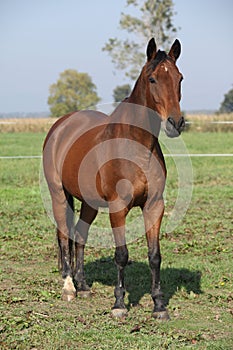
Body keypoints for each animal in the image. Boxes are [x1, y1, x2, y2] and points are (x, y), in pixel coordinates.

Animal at [42, 38, 184, 320]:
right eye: (152, 79)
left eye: (179, 78)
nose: (176, 123)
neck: (136, 147)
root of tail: (60, 126)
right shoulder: (118, 207)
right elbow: (121, 255)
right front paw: (119, 304)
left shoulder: (154, 206)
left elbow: (155, 256)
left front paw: (159, 306)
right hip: (58, 195)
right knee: (64, 235)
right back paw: (68, 288)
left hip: (89, 202)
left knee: (80, 235)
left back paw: (83, 285)